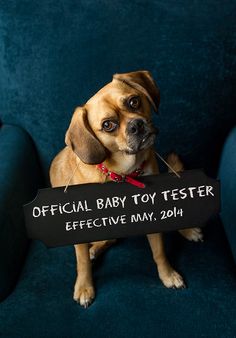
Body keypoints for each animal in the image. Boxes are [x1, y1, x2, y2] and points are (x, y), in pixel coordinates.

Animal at [50, 70, 203, 308]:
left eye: (134, 102)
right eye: (108, 125)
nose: (136, 125)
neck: (123, 173)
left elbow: (159, 252)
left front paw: (168, 275)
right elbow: (82, 262)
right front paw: (84, 287)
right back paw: (94, 250)